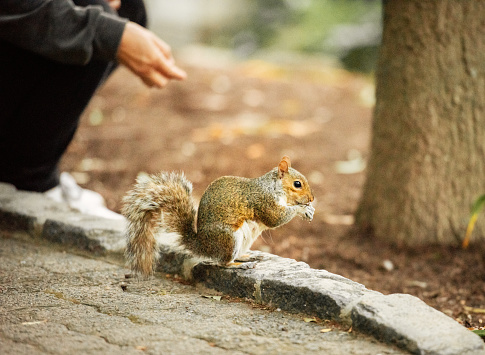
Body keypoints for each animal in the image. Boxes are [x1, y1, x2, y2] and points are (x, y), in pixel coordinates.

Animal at [121, 157, 314, 276]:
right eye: (297, 184)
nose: (311, 198)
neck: (273, 188)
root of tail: (203, 245)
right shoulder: (262, 201)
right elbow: (275, 219)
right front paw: (302, 209)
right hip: (229, 238)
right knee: (223, 263)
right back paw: (241, 265)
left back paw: (245, 257)